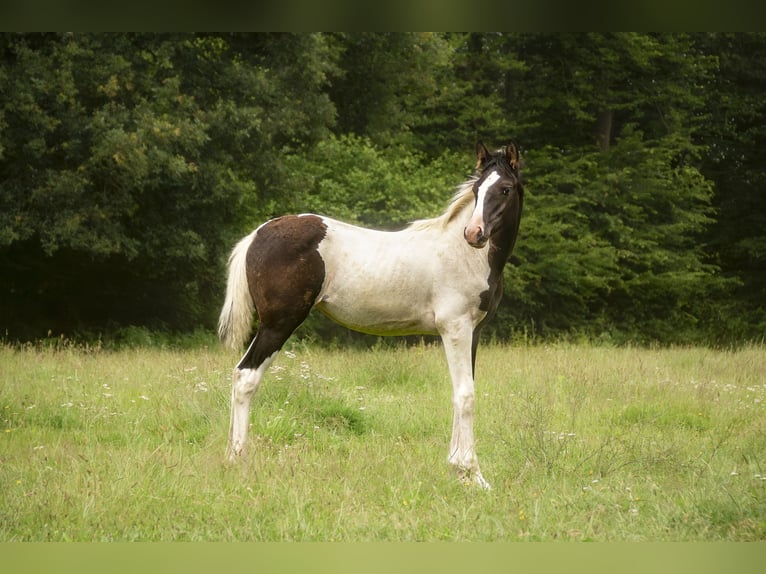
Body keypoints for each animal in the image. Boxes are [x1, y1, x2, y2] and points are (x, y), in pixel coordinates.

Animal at [219, 142, 524, 488]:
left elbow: (461, 393)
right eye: (476, 189)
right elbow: (465, 396)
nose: (474, 234)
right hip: (278, 324)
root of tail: (257, 234)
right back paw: (238, 459)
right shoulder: (455, 329)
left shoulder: (473, 333)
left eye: (505, 189)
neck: (465, 256)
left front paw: (460, 472)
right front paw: (473, 474)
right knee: (246, 377)